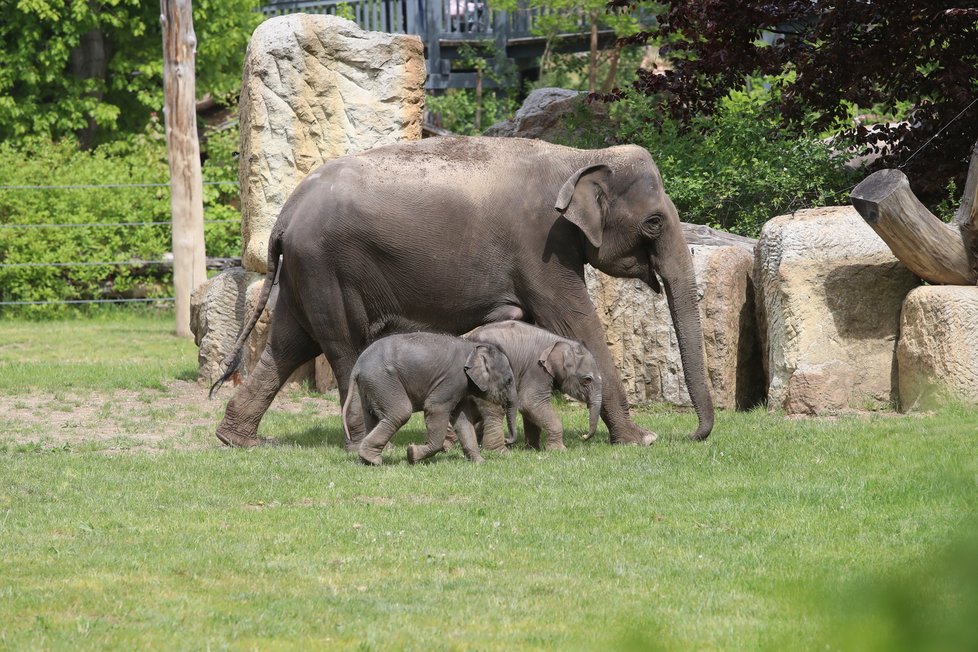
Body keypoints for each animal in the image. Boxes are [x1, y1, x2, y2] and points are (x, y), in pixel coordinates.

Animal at [342, 334, 520, 466]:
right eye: (509, 380)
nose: (507, 439)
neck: (473, 346)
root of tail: (357, 366)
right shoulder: (452, 380)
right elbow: (435, 408)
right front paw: (412, 454)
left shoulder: (460, 389)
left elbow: (462, 419)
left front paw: (480, 462)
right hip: (382, 381)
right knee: (400, 413)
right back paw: (374, 460)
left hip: (370, 386)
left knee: (371, 416)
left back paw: (369, 460)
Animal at [460, 320, 604, 454]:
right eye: (588, 380)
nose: (583, 436)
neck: (559, 341)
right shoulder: (536, 369)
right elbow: (531, 403)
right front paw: (559, 450)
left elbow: (530, 409)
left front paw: (533, 449)